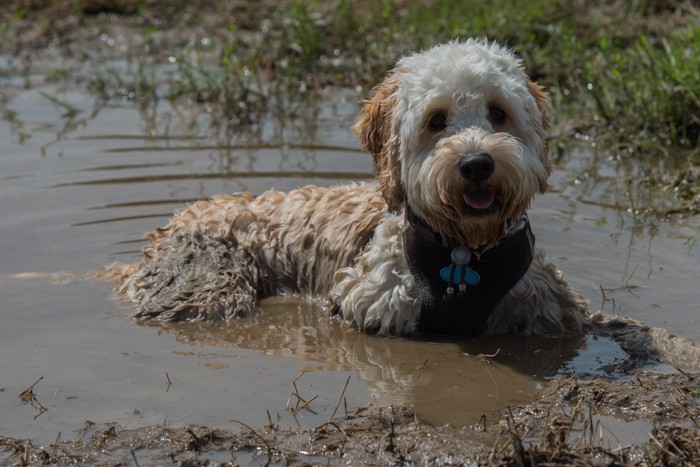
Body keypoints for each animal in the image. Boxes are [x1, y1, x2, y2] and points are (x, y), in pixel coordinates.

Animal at [116, 38, 592, 338]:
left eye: (497, 113)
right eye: (436, 120)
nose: (476, 163)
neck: (462, 253)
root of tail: (181, 216)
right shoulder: (370, 306)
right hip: (205, 285)